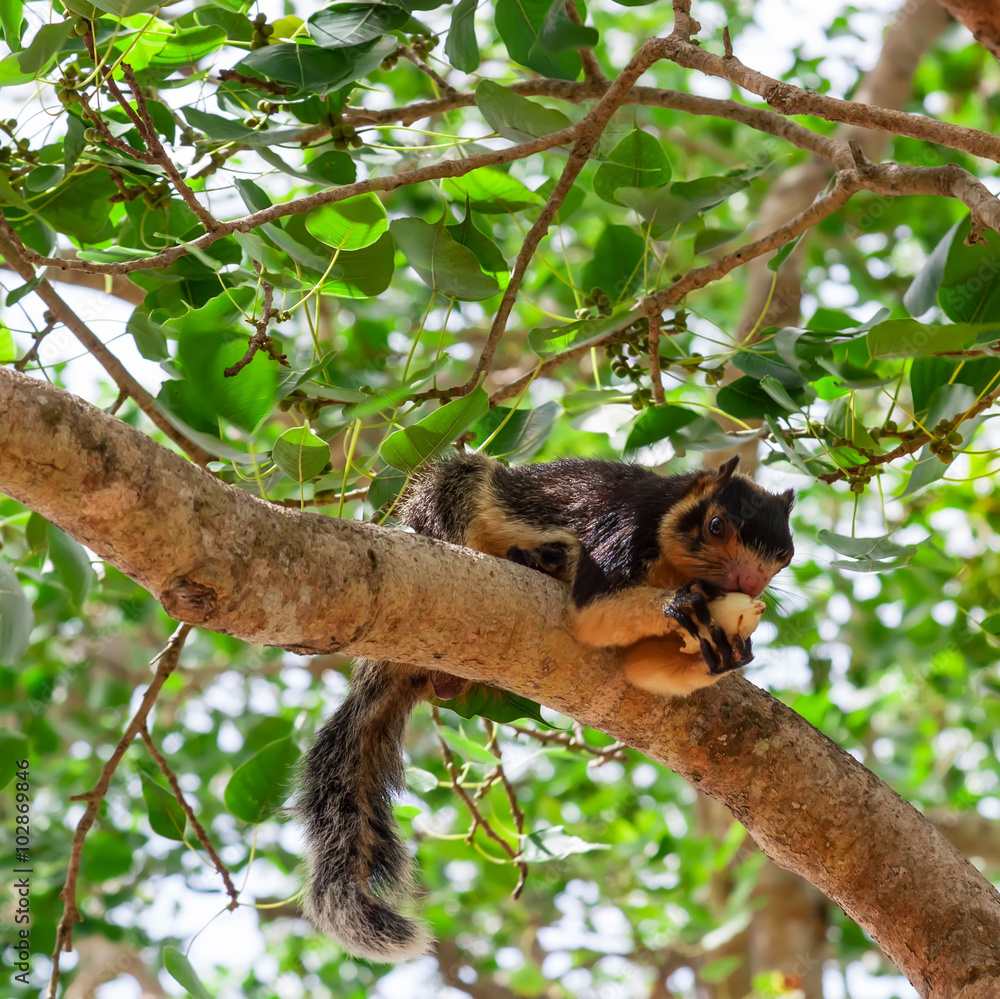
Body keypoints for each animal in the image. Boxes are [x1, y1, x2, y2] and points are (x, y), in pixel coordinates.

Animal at [297, 453, 794, 962]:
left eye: (786, 557)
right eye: (716, 526)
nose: (750, 583)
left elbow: (642, 669)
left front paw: (731, 651)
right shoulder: (622, 530)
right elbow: (594, 612)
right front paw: (681, 605)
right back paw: (536, 559)